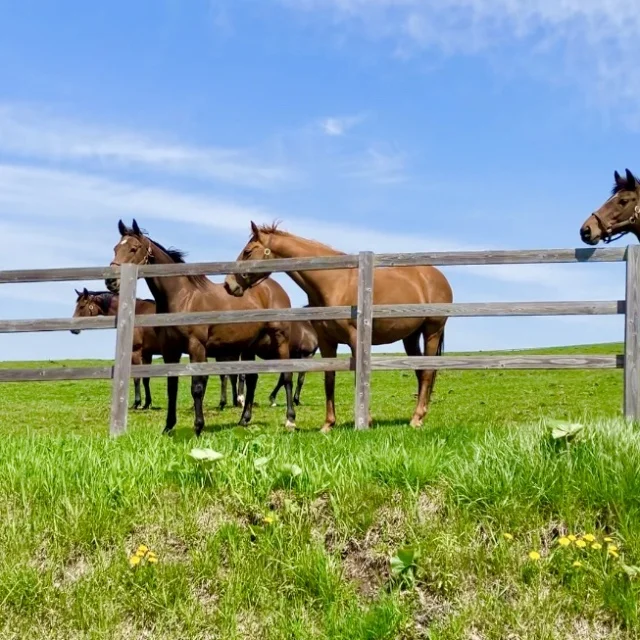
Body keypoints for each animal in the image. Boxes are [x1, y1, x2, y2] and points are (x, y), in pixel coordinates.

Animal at [69, 288, 241, 410]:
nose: (73, 329)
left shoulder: (136, 352)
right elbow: (146, 379)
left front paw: (137, 403)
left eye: (82, 306)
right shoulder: (147, 354)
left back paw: (224, 402)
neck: (134, 314)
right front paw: (147, 403)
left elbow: (137, 378)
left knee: (225, 376)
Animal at [105, 219, 296, 436]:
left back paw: (290, 420)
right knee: (252, 379)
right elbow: (172, 387)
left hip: (280, 340)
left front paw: (198, 427)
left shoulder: (196, 347)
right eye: (115, 248)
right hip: (248, 346)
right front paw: (168, 427)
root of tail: (275, 289)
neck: (182, 297)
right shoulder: (170, 350)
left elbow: (196, 387)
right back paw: (244, 420)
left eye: (134, 248)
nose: (111, 281)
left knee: (287, 376)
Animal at [222, 222, 452, 432]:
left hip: (432, 331)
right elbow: (329, 379)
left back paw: (417, 418)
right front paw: (328, 424)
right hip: (410, 337)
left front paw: (365, 421)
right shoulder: (327, 342)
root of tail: (437, 277)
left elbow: (358, 379)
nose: (228, 284)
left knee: (428, 372)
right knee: (420, 372)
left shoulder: (355, 339)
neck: (333, 281)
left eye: (248, 251)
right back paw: (419, 415)